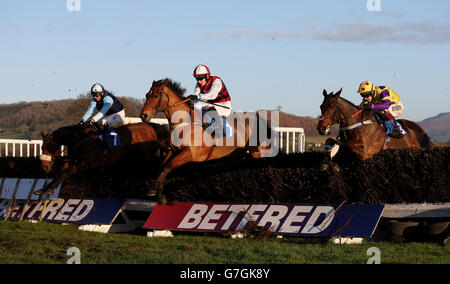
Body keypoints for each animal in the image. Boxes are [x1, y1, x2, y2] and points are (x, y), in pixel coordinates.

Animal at [34, 122, 169, 195]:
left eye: (51, 147)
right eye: (41, 147)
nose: (44, 167)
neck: (81, 139)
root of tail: (150, 127)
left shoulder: (84, 164)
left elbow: (64, 173)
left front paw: (49, 189)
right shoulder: (73, 160)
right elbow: (61, 172)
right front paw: (44, 189)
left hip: (144, 154)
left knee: (144, 167)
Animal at [141, 79, 276, 205]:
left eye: (156, 95)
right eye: (147, 94)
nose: (143, 116)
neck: (184, 122)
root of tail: (256, 117)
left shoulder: (189, 154)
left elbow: (168, 166)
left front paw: (154, 191)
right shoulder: (173, 151)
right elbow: (162, 167)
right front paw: (159, 195)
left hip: (258, 149)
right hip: (239, 151)